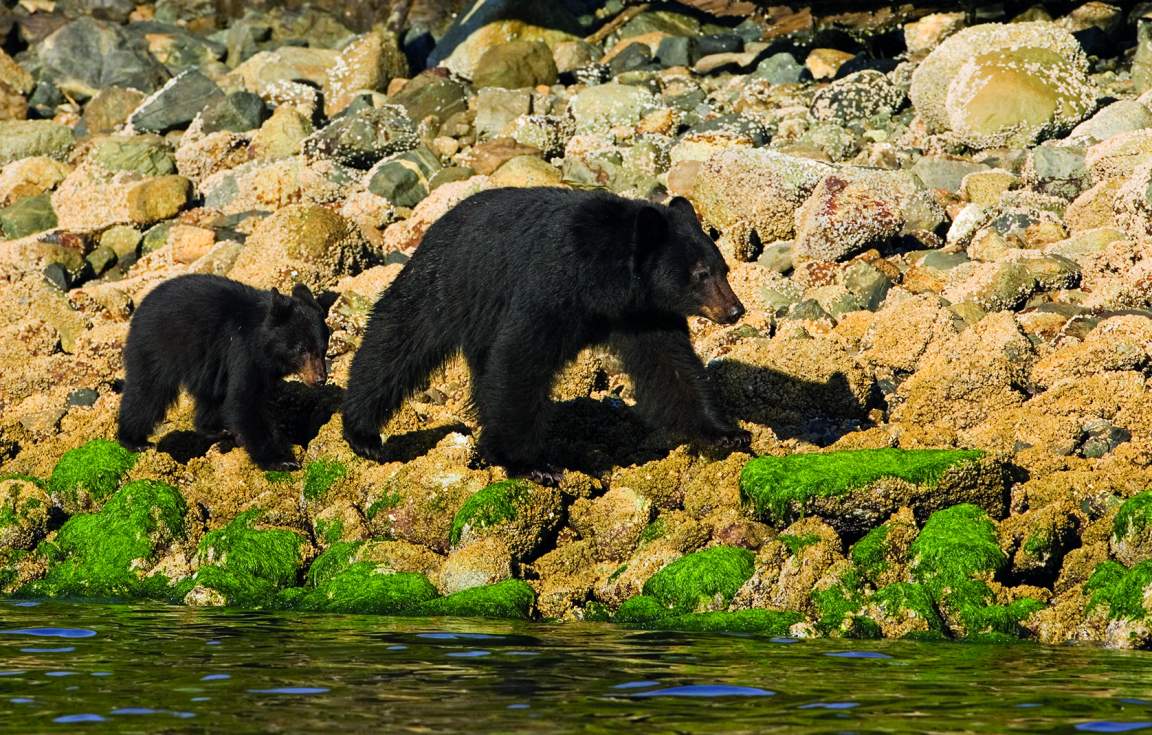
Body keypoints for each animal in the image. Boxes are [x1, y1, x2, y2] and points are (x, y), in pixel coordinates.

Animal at [118, 276, 329, 472]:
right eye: (302, 349)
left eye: (323, 348)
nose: (320, 379)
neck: (263, 343)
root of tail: (140, 308)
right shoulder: (243, 351)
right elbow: (245, 401)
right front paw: (281, 460)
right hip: (157, 346)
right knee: (147, 393)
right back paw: (134, 441)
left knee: (210, 396)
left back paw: (217, 429)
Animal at [340, 186, 746, 481]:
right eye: (700, 274)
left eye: (723, 268)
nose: (735, 310)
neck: (606, 281)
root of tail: (438, 223)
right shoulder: (552, 286)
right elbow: (520, 360)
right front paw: (532, 463)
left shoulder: (645, 313)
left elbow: (671, 367)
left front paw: (726, 432)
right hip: (448, 282)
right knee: (398, 339)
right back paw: (363, 432)